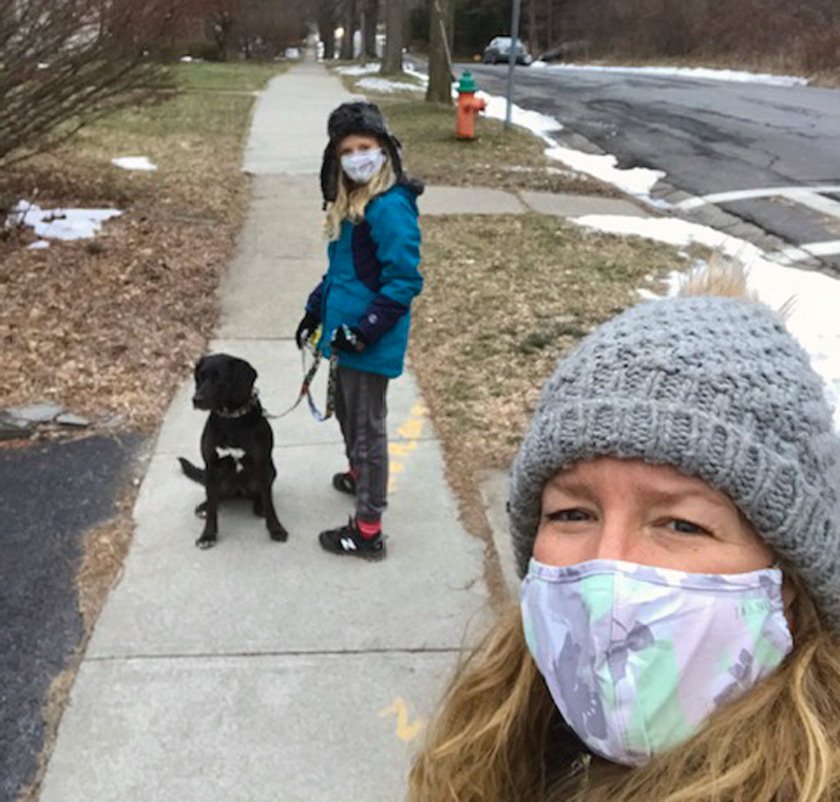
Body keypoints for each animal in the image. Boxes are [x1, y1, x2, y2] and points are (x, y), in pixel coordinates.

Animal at [178, 352, 288, 548]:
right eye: (200, 377)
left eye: (219, 380)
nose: (196, 399)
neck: (231, 419)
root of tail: (238, 490)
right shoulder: (211, 466)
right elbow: (213, 508)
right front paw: (207, 535)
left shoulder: (262, 464)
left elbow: (269, 502)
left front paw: (276, 529)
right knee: (215, 497)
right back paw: (204, 506)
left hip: (271, 471)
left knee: (261, 493)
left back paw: (259, 506)